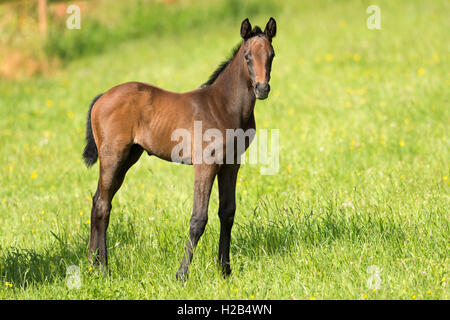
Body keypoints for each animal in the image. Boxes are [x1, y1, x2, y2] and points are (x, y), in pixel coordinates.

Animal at [82, 17, 276, 278]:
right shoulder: (206, 164)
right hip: (113, 156)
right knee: (102, 204)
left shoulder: (231, 164)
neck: (223, 106)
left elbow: (227, 212)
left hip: (129, 157)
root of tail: (102, 97)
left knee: (98, 201)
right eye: (246, 56)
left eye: (271, 55)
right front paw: (182, 274)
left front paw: (225, 270)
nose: (262, 89)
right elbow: (198, 219)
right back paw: (103, 268)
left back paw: (92, 264)